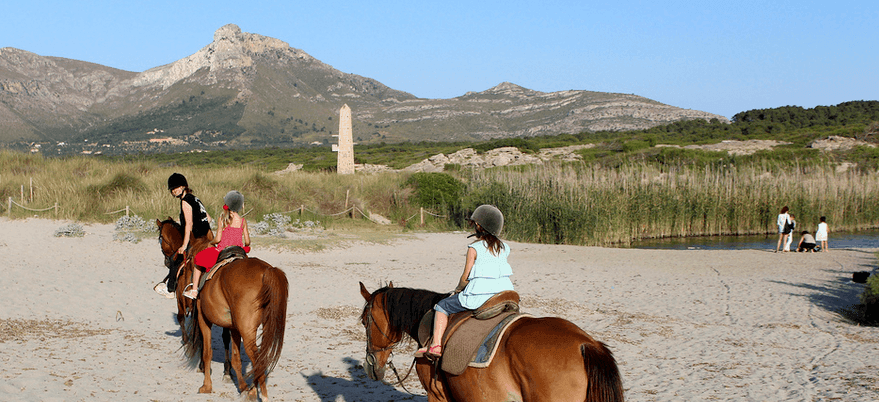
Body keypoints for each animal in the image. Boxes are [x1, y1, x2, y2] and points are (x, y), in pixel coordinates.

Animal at [182, 254, 288, 400]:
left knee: (258, 360)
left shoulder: (204, 319)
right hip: (263, 326)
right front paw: (243, 387)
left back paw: (263, 395)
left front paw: (206, 386)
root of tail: (267, 270)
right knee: (260, 358)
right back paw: (253, 391)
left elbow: (207, 353)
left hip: (247, 331)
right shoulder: (234, 328)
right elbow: (236, 358)